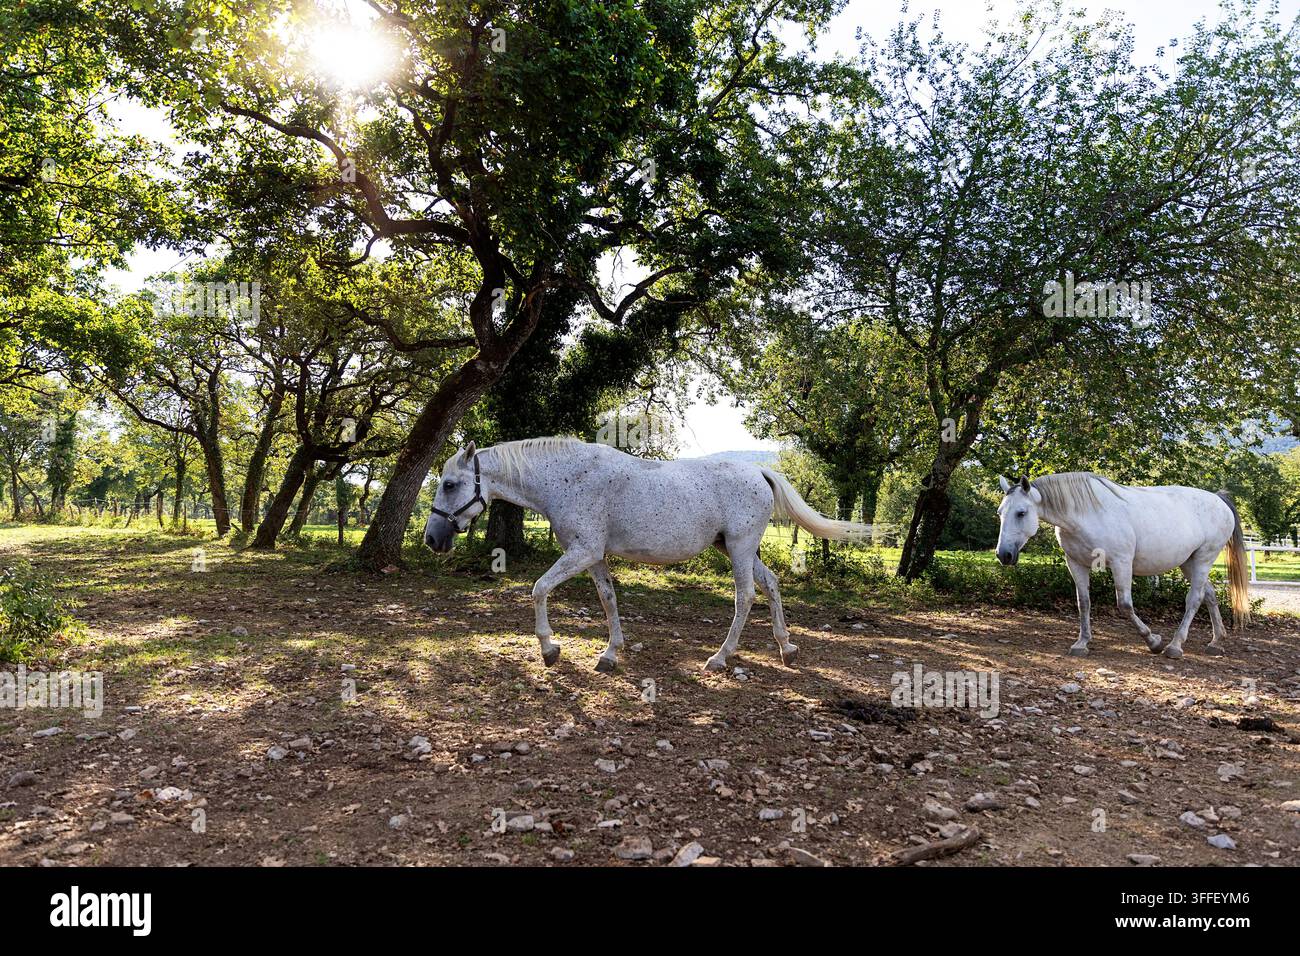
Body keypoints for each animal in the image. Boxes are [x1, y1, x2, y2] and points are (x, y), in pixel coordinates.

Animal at [424, 438, 871, 672]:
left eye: (449, 484)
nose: (432, 538)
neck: (566, 477)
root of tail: (758, 472)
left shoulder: (582, 551)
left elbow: (538, 588)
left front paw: (549, 650)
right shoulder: (594, 557)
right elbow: (608, 599)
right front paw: (610, 654)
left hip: (741, 548)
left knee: (745, 597)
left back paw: (720, 657)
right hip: (736, 548)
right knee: (773, 585)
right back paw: (786, 647)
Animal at [994, 473, 1250, 659]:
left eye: (1021, 512)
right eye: (999, 513)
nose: (1003, 554)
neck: (1087, 514)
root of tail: (1219, 500)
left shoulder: (1121, 563)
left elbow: (1125, 605)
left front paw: (1153, 641)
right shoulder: (1076, 564)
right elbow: (1083, 602)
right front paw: (1081, 643)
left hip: (1203, 560)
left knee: (1194, 599)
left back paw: (1175, 646)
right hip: (1189, 562)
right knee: (1209, 594)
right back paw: (1216, 641)